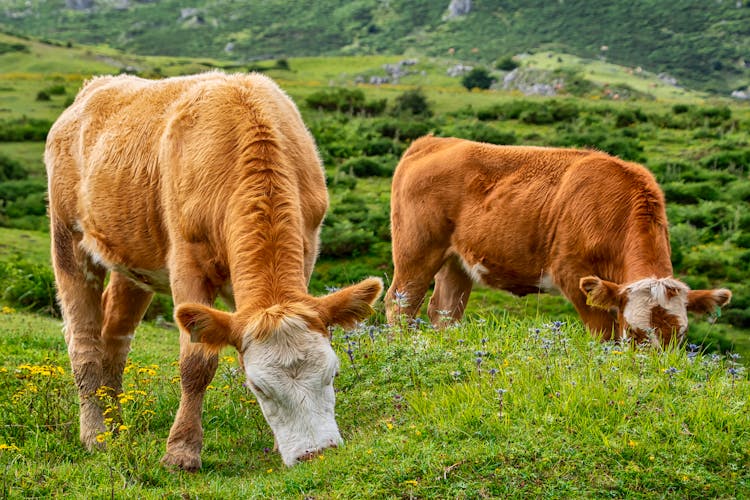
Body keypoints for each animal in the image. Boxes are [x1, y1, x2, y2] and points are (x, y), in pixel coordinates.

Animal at [47, 72, 384, 470]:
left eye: (333, 372)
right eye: (259, 387)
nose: (316, 453)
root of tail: (97, 86)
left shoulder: (305, 251)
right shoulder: (186, 265)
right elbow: (197, 363)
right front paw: (181, 450)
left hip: (133, 256)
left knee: (114, 337)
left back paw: (116, 427)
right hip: (67, 238)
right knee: (83, 341)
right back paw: (96, 435)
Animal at [388, 136, 736, 348]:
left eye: (680, 336)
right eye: (635, 333)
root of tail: (433, 142)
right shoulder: (575, 276)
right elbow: (603, 336)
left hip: (456, 261)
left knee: (445, 311)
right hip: (416, 252)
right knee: (400, 304)